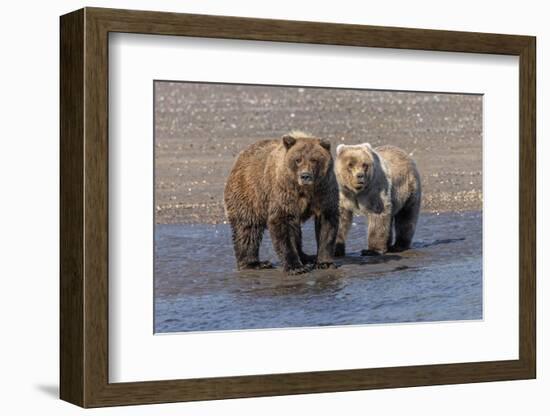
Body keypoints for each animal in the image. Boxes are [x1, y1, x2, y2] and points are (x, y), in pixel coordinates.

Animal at [224, 132, 340, 274]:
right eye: (298, 159)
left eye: (314, 159)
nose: (305, 176)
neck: (305, 190)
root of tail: (240, 157)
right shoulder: (285, 191)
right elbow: (282, 223)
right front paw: (295, 267)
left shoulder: (324, 190)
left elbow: (327, 223)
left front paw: (325, 263)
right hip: (250, 193)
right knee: (248, 227)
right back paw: (255, 263)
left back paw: (306, 257)